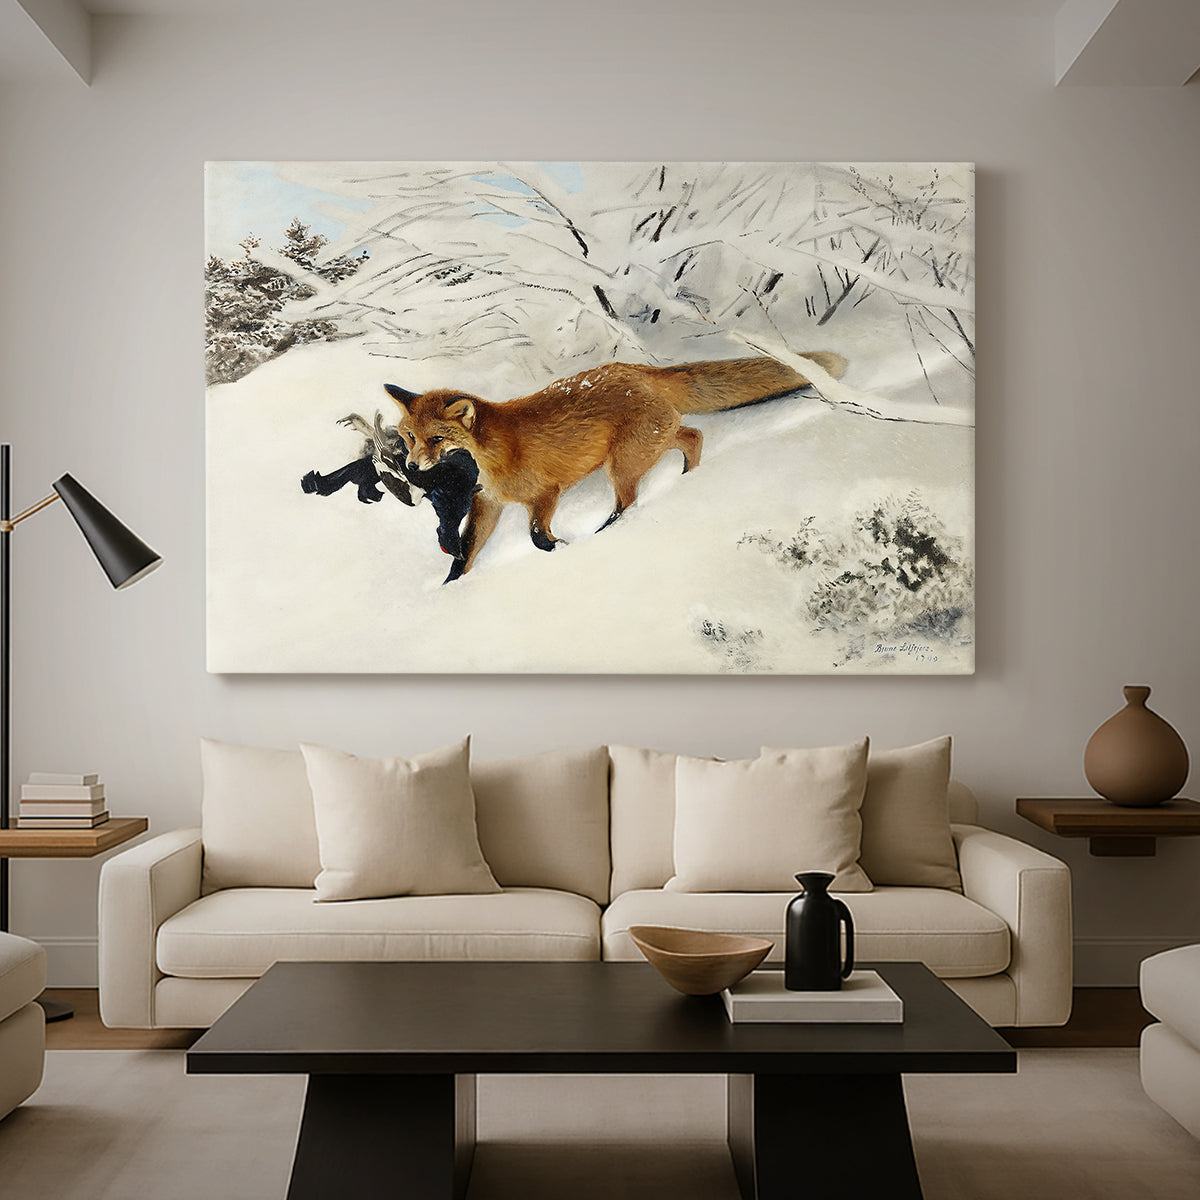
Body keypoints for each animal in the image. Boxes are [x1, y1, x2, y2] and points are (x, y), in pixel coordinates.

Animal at [384, 351, 847, 577]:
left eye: (437, 439)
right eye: (409, 437)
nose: (413, 467)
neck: (493, 454)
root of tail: (637, 369)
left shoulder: (545, 494)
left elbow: (536, 537)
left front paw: (562, 548)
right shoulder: (489, 504)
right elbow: (465, 553)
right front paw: (450, 587)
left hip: (622, 464)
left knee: (630, 502)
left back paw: (609, 531)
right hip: (648, 445)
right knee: (693, 436)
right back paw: (688, 479)